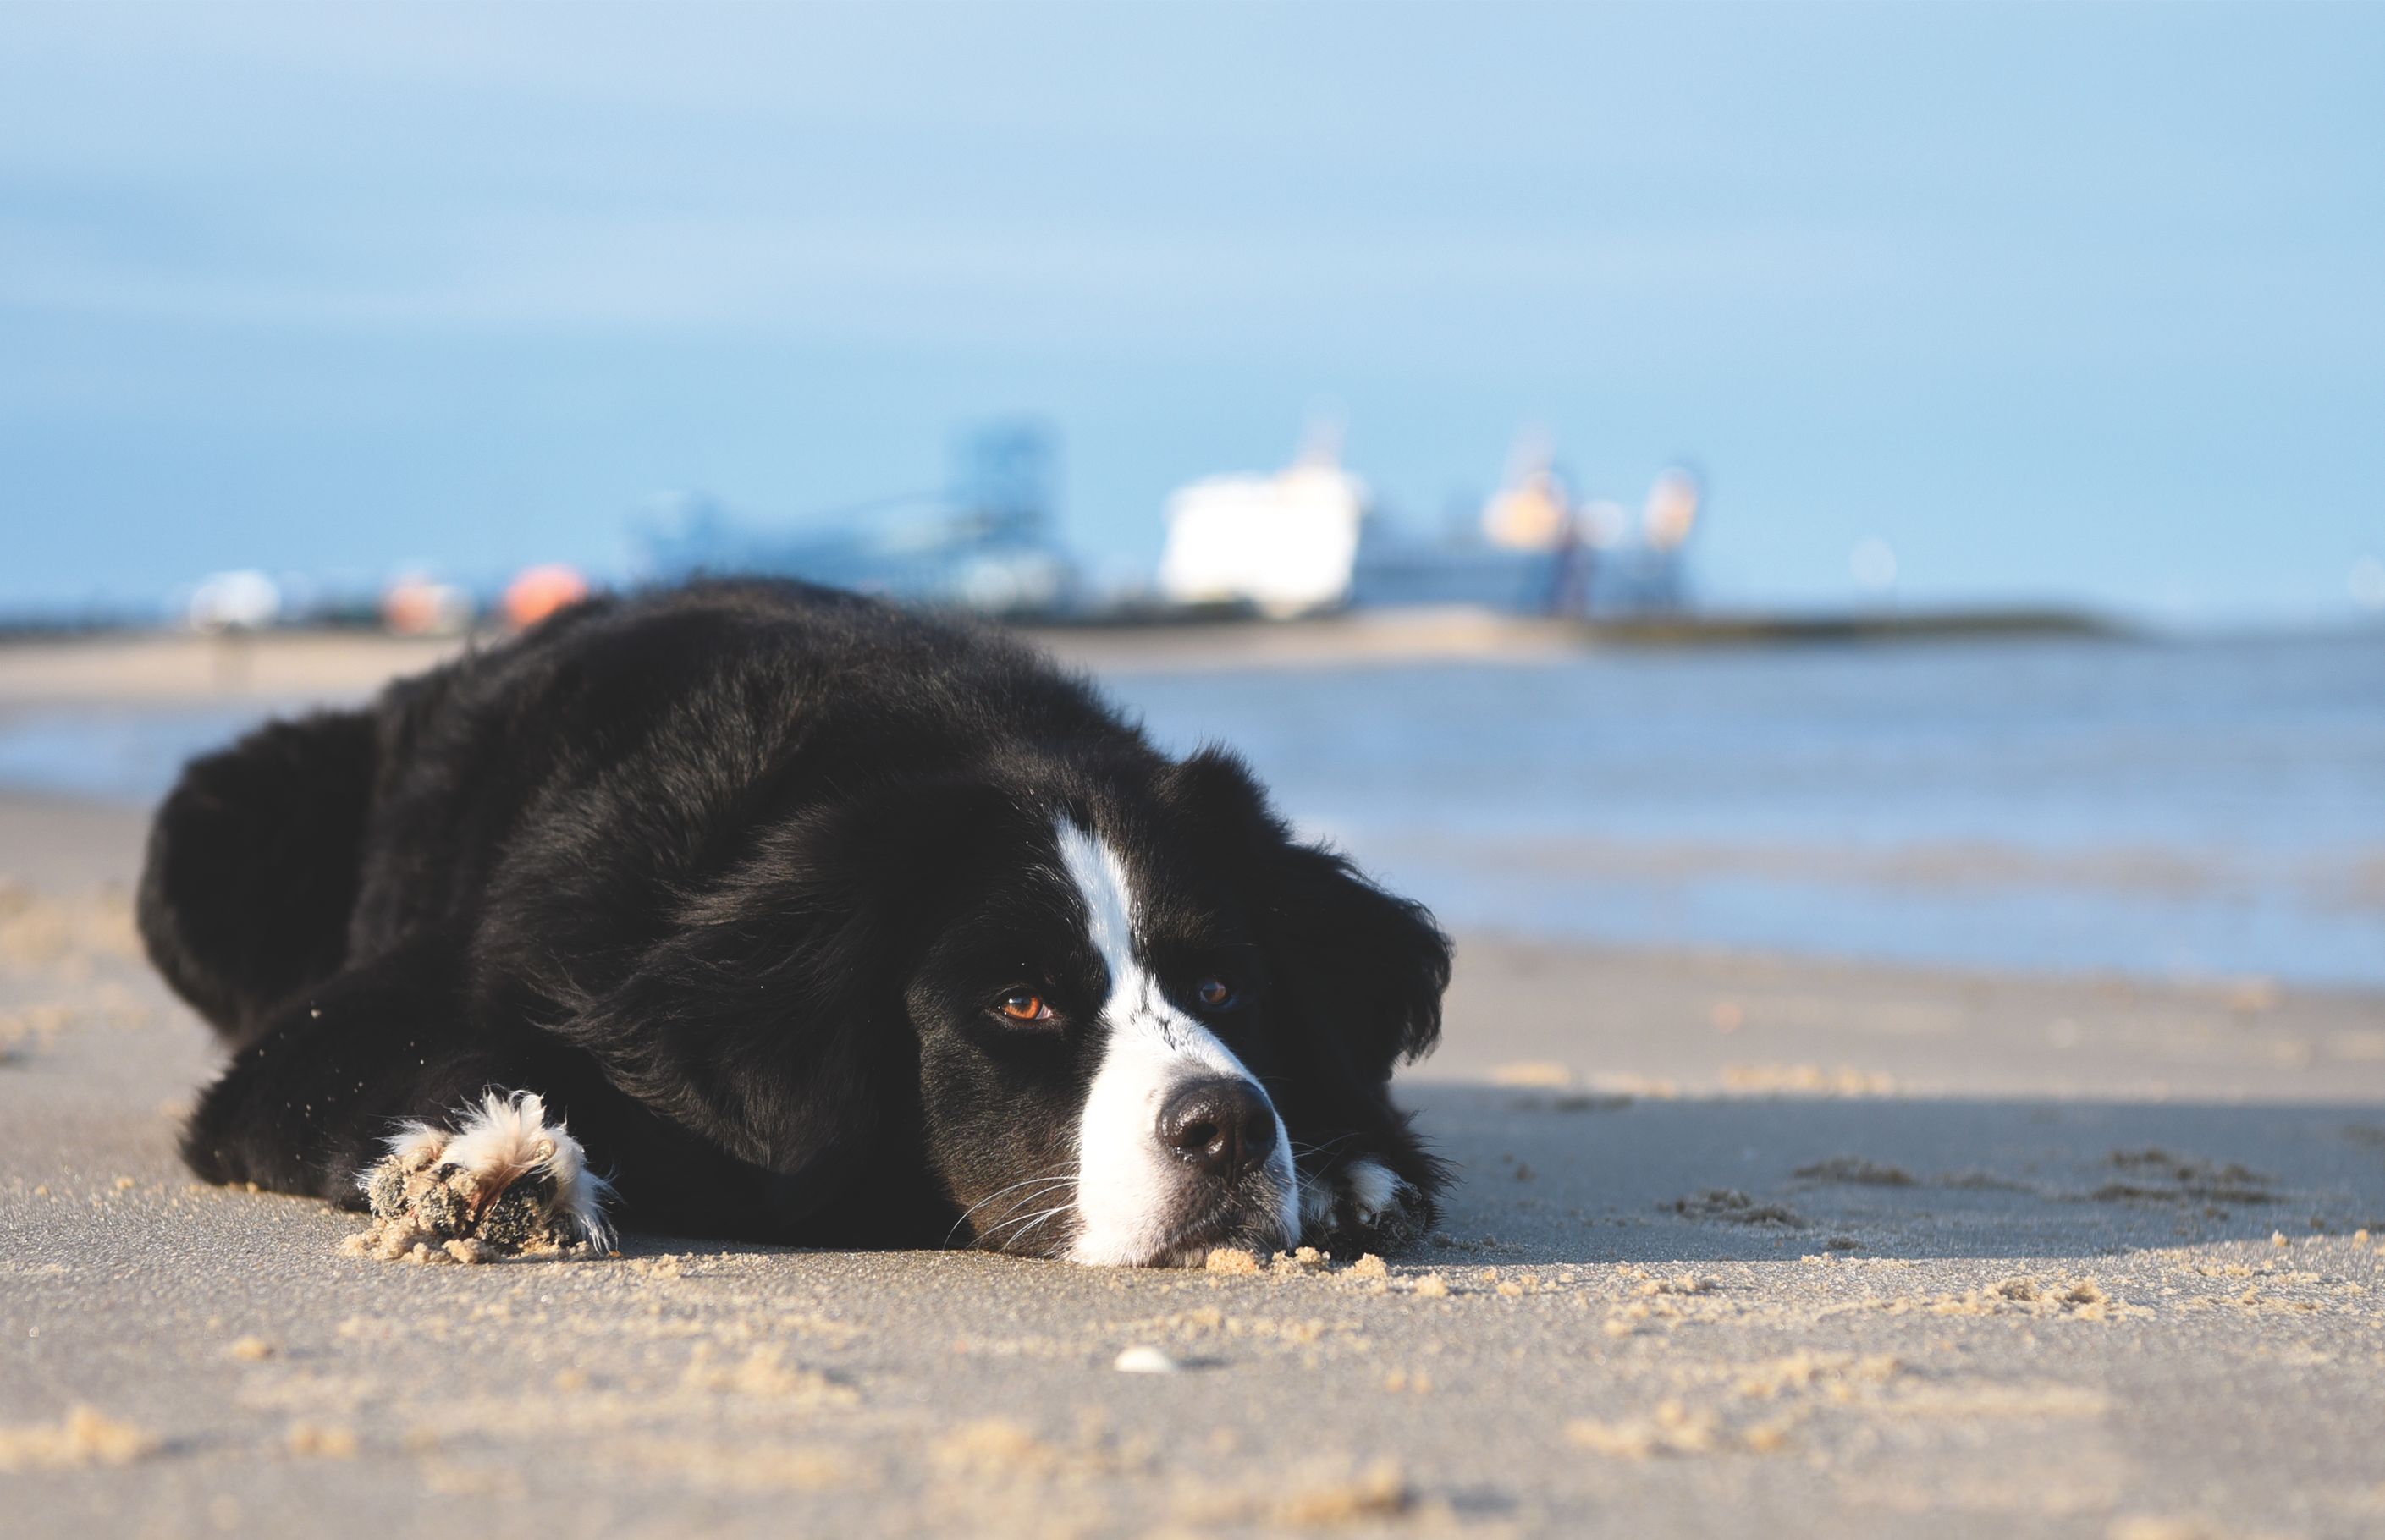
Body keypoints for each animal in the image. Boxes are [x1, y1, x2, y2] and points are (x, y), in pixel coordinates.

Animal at [153, 579, 1450, 1268]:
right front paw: (483, 1162)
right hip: (202, 840)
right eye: (1020, 999)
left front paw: (1346, 1169)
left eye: (1224, 986)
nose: (1225, 1126)